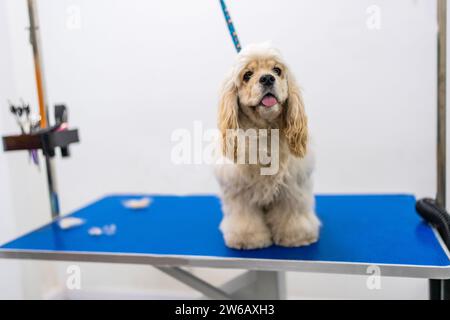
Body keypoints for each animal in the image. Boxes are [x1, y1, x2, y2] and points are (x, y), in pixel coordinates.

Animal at [214, 42, 320, 250]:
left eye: (277, 70)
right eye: (247, 75)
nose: (267, 78)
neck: (266, 129)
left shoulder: (293, 186)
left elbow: (292, 213)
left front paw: (296, 236)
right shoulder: (239, 189)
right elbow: (245, 218)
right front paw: (248, 238)